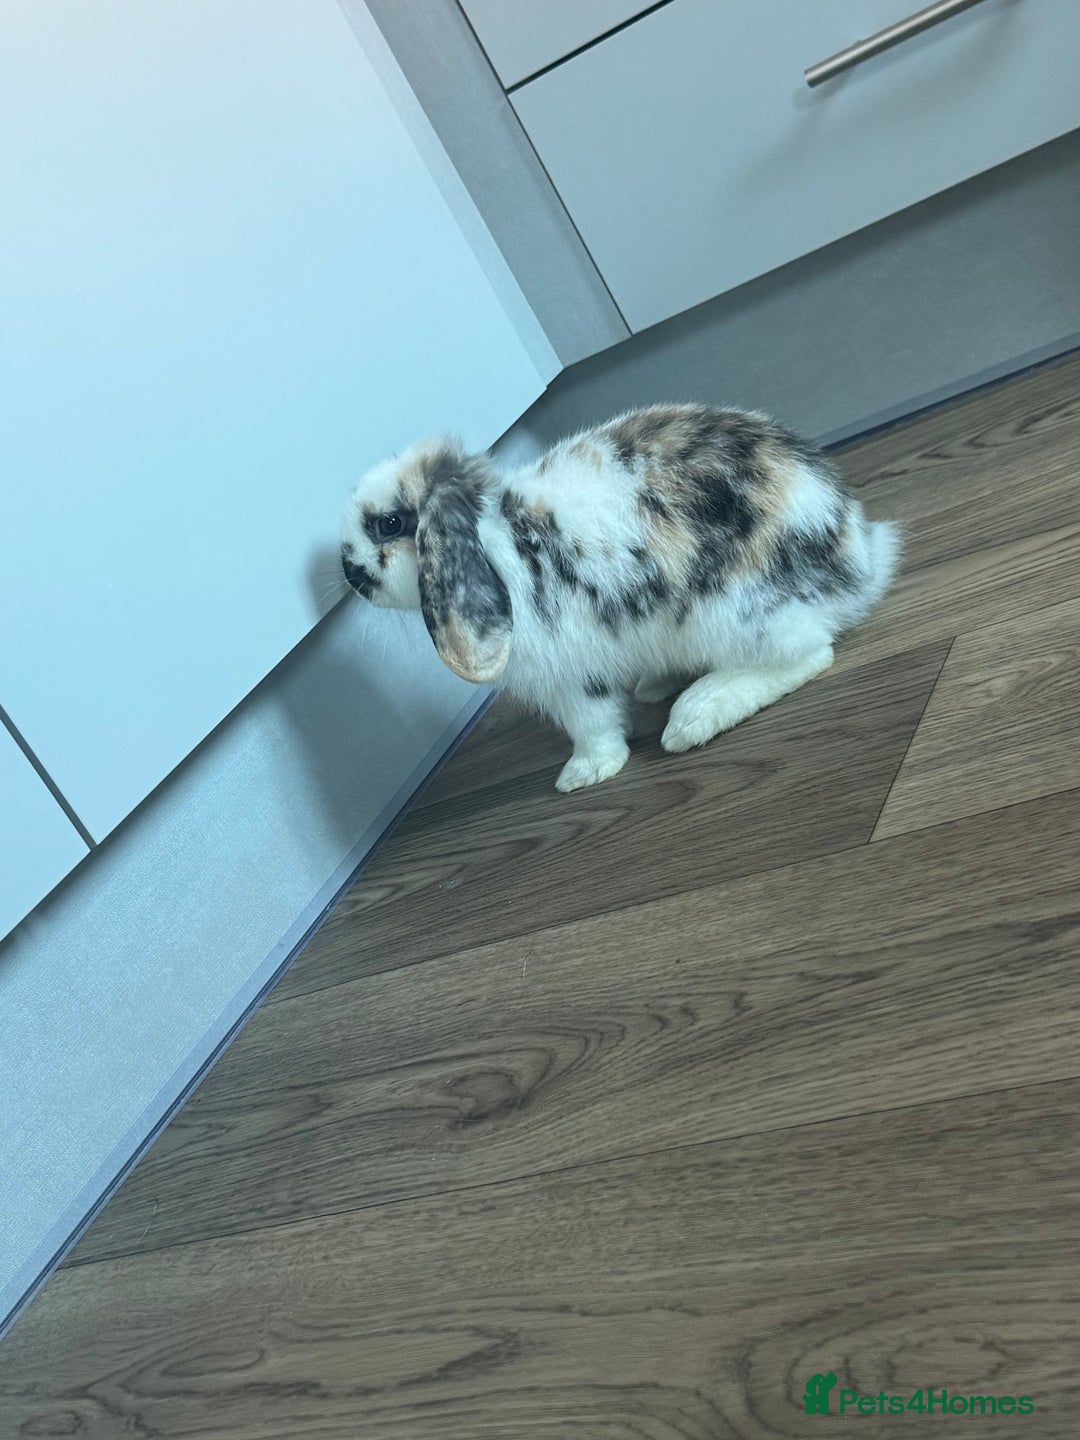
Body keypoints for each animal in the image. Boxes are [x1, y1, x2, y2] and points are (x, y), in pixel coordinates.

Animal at [341, 403, 900, 792]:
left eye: (389, 524)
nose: (349, 573)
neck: (495, 539)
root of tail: (859, 561)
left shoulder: (567, 675)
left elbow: (591, 725)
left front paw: (582, 775)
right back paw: (657, 685)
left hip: (732, 616)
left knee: (808, 654)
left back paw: (693, 717)